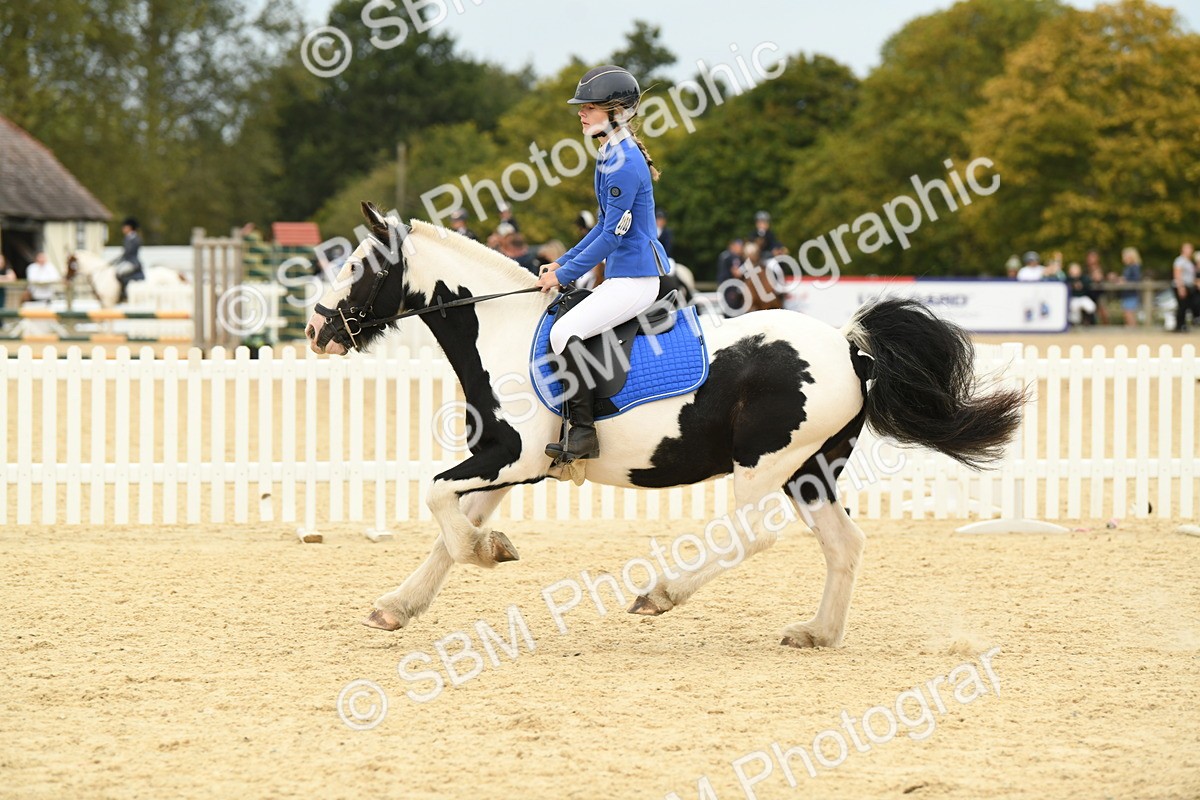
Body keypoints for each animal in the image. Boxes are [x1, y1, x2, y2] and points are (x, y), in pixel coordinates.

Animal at [305, 202, 1023, 648]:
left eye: (356, 266)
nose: (315, 331)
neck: (501, 332)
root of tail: (849, 346)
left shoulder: (514, 459)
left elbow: (437, 501)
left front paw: (490, 551)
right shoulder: (502, 467)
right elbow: (448, 532)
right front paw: (401, 603)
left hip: (764, 463)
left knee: (751, 536)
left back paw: (662, 593)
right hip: (811, 470)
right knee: (843, 545)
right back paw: (817, 633)